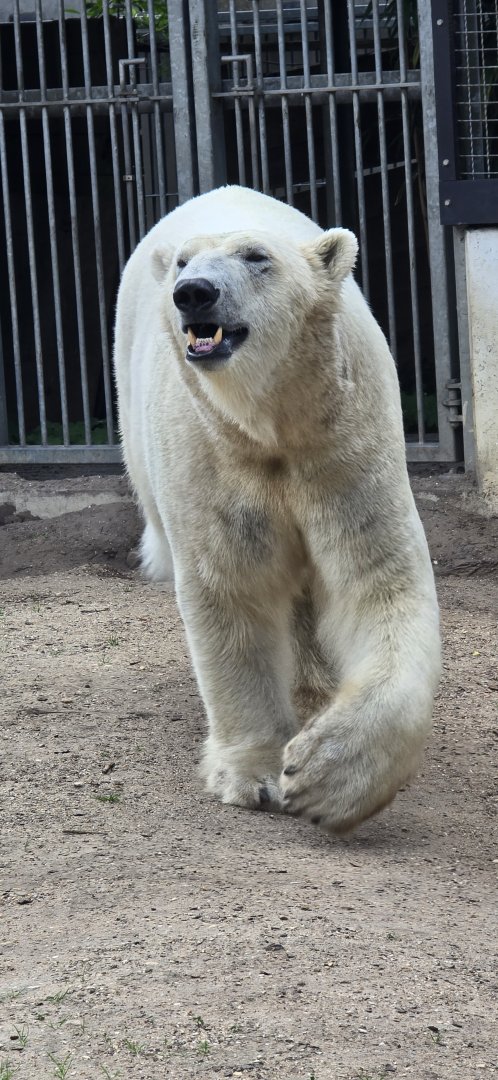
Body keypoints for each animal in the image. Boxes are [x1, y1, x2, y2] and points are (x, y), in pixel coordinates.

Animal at [114, 185, 440, 834]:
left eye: (256, 256)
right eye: (185, 261)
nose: (193, 292)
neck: (272, 425)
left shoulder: (344, 446)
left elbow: (377, 581)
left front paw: (325, 777)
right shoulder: (213, 454)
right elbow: (232, 588)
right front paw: (259, 774)